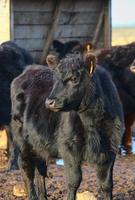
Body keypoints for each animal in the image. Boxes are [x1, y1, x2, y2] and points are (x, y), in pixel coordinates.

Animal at [45, 52, 124, 199]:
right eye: (55, 78)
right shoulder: (68, 145)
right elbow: (74, 180)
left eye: (74, 78)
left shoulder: (111, 147)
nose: (49, 102)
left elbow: (106, 184)